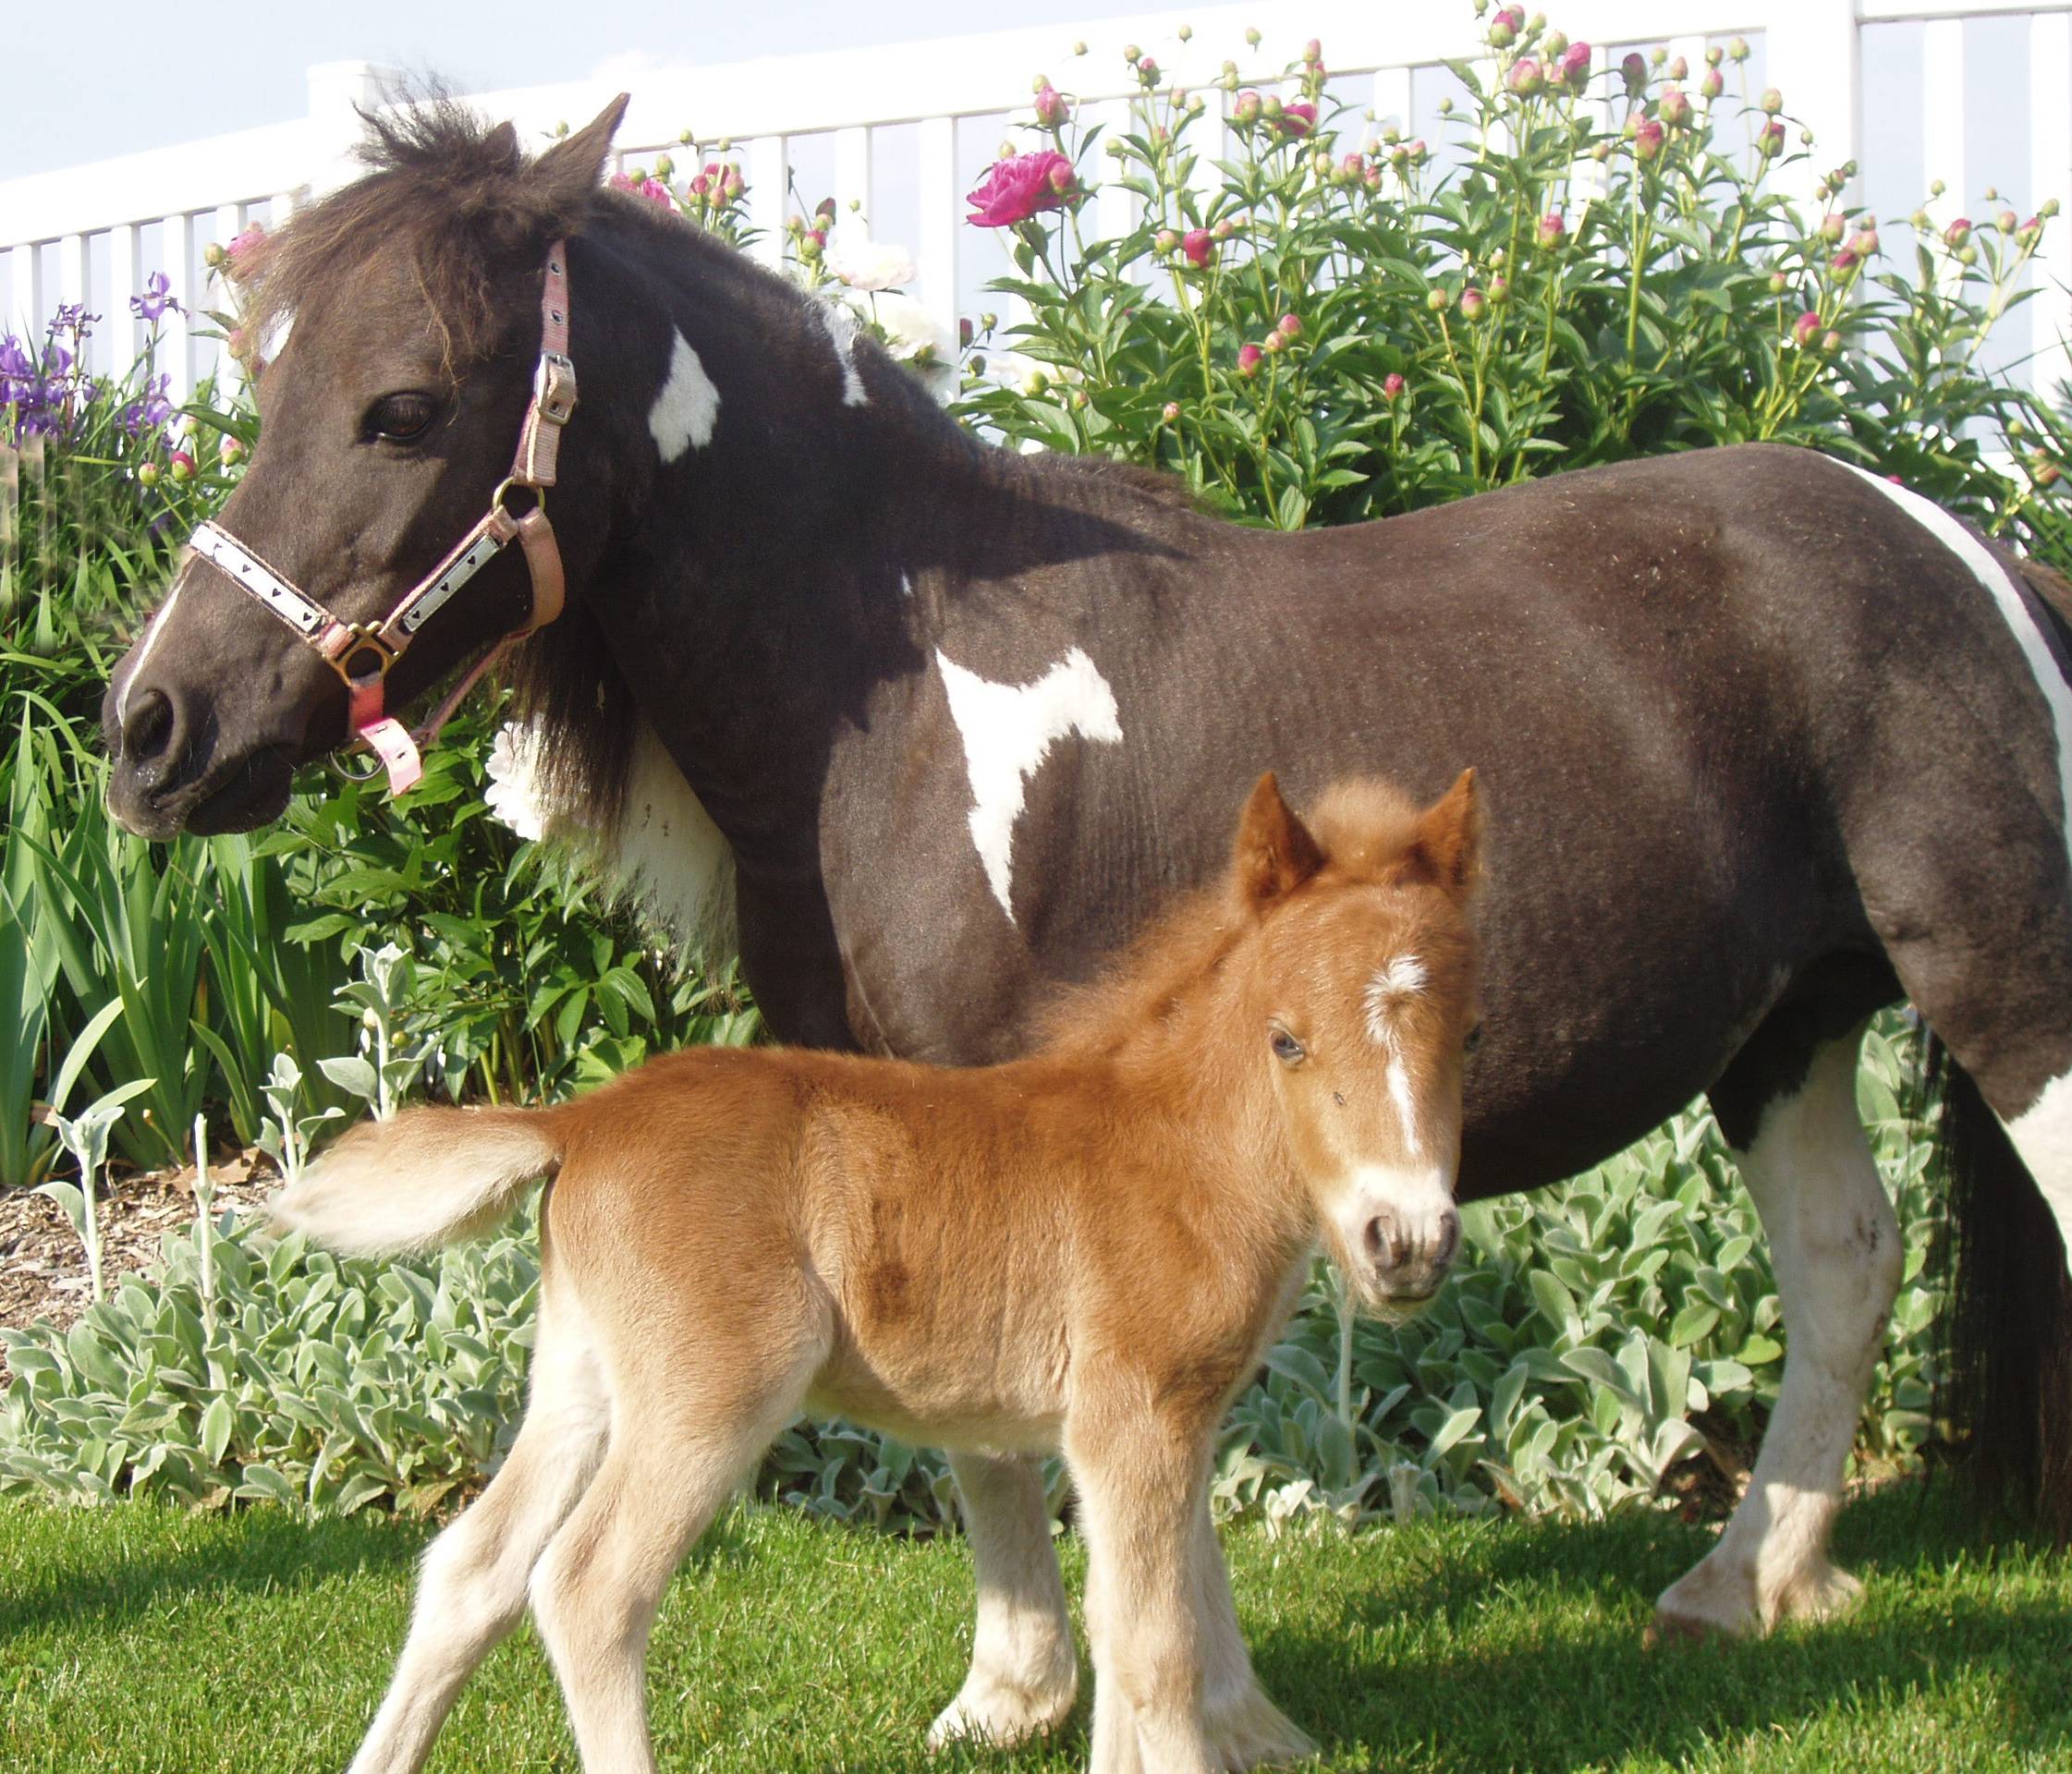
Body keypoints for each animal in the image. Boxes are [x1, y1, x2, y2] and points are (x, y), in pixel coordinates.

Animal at [279, 771, 1492, 1774]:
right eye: (1286, 1040)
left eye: (1468, 1037)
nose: (1405, 1239)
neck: (1177, 1143)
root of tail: (581, 1120)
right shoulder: (1134, 1417)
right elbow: (1159, 1657)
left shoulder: (1162, 1424)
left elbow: (1137, 1638)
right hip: (713, 1391)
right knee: (587, 1588)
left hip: (581, 1376)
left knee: (471, 1568)